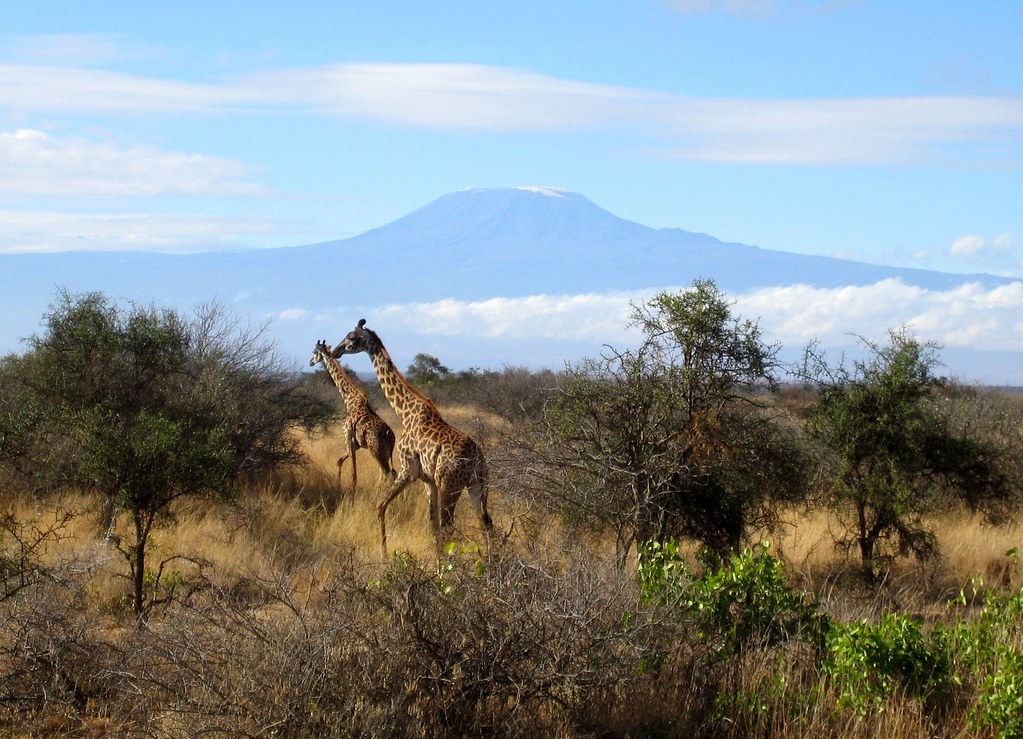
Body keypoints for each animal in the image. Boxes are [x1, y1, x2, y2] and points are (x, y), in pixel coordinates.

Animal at [306, 339, 394, 495]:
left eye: (315, 352)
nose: (310, 362)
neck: (350, 400)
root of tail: (391, 436)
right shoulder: (356, 444)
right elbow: (339, 461)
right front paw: (338, 485)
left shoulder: (347, 436)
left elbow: (354, 473)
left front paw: (351, 493)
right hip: (386, 453)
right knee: (391, 474)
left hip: (376, 450)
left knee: (386, 473)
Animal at [331, 319, 491, 556]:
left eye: (351, 337)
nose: (335, 351)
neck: (405, 412)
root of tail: (478, 460)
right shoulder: (428, 481)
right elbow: (432, 525)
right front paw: (437, 562)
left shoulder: (409, 470)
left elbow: (381, 507)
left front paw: (385, 555)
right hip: (477, 486)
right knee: (485, 523)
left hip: (450, 486)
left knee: (450, 527)